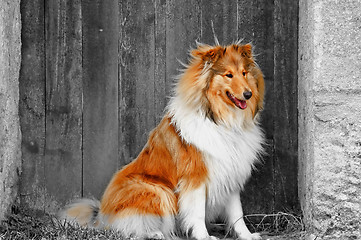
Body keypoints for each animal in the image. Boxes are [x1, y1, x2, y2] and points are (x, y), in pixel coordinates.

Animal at [60, 43, 264, 240]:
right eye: (228, 75)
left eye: (244, 73)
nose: (248, 94)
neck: (223, 121)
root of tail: (101, 216)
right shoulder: (195, 178)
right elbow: (197, 213)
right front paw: (204, 236)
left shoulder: (231, 174)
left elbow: (237, 214)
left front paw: (247, 236)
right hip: (156, 189)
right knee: (129, 226)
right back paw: (154, 233)